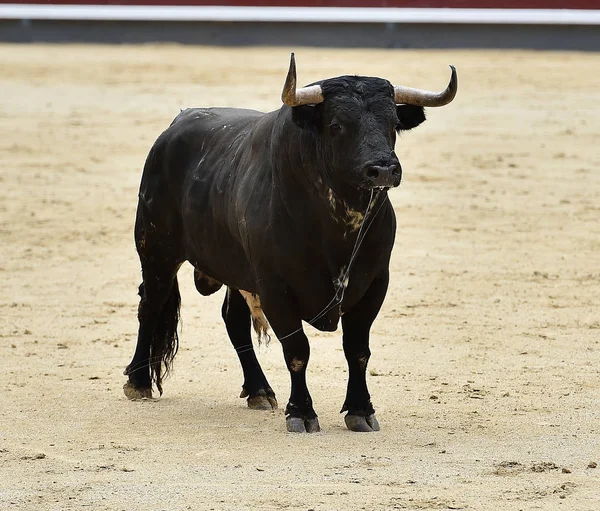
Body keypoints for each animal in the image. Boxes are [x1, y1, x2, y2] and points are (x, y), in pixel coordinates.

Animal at [124, 55, 458, 432]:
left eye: (394, 123)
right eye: (337, 125)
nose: (384, 169)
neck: (337, 228)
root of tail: (176, 125)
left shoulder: (374, 283)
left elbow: (357, 349)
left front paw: (360, 409)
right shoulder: (275, 287)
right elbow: (297, 350)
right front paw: (301, 412)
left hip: (234, 267)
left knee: (233, 320)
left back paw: (258, 389)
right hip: (155, 250)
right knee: (150, 305)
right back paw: (138, 382)